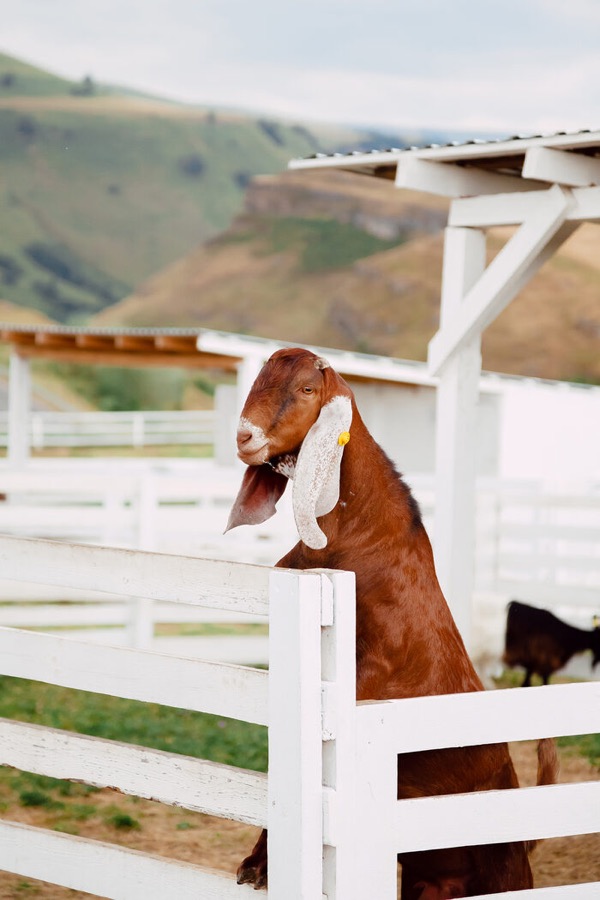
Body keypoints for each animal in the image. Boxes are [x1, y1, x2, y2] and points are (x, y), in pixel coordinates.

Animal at [227, 348, 558, 898]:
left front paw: (265, 863)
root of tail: (523, 843)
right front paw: (257, 862)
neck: (357, 540)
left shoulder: (370, 678)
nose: (244, 437)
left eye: (307, 390)